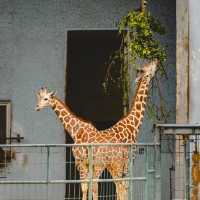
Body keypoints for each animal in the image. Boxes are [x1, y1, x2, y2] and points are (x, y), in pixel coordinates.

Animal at [35, 59, 158, 200]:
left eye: (45, 98)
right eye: (39, 98)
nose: (37, 107)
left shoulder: (89, 163)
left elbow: (91, 187)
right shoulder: (85, 163)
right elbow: (89, 187)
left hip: (113, 165)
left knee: (119, 186)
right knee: (117, 186)